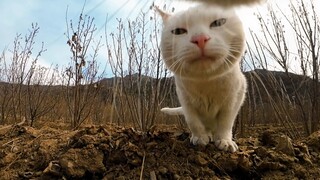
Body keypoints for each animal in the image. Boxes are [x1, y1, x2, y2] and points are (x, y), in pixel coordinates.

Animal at [156, 3, 249, 152]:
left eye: (218, 23)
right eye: (178, 31)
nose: (200, 39)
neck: (206, 83)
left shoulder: (234, 98)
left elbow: (226, 122)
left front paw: (224, 141)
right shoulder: (185, 100)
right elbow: (193, 121)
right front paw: (199, 138)